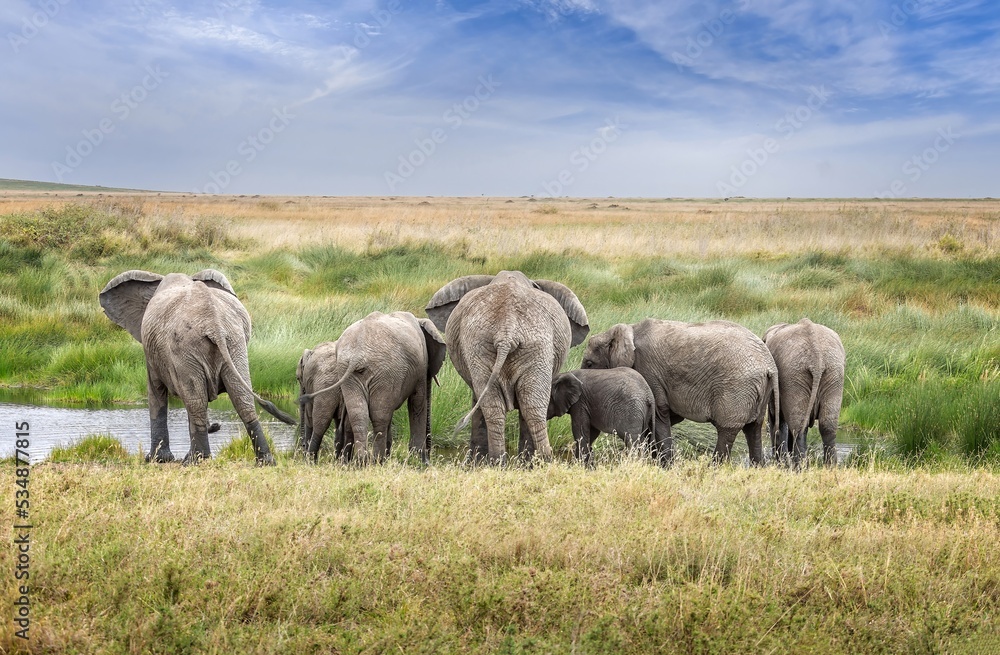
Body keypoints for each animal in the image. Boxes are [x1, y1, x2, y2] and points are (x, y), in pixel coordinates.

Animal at [102, 270, 296, 464]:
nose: (216, 426)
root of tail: (214, 322)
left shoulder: (153, 353)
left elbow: (156, 392)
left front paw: (156, 459)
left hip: (186, 347)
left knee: (196, 402)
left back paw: (196, 460)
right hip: (234, 344)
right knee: (240, 399)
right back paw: (265, 461)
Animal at [296, 312, 446, 466]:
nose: (429, 457)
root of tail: (357, 356)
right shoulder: (420, 367)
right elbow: (417, 404)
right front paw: (421, 463)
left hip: (349, 371)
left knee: (356, 413)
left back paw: (361, 461)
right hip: (385, 371)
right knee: (379, 417)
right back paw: (376, 461)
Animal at [426, 272, 588, 466]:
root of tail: (506, 329)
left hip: (492, 346)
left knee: (509, 407)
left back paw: (507, 463)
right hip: (516, 347)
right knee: (529, 407)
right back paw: (533, 463)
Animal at [584, 320, 776, 464]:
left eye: (589, 363)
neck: (628, 329)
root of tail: (769, 366)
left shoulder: (648, 371)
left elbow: (659, 413)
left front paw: (664, 465)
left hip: (736, 389)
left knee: (727, 431)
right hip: (759, 392)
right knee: (753, 430)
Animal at [764, 318, 844, 466]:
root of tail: (817, 358)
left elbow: (776, 420)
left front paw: (780, 463)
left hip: (796, 375)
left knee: (799, 427)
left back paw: (799, 467)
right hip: (833, 374)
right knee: (827, 426)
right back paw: (830, 467)